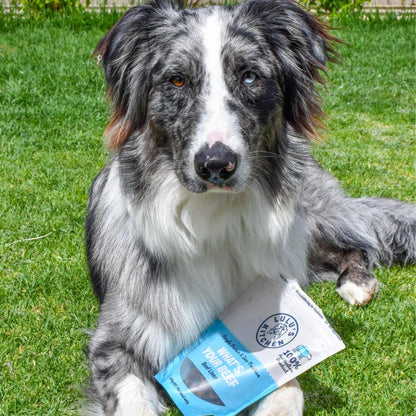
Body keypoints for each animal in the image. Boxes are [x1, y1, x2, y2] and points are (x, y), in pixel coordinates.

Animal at [85, 1, 416, 414]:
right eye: (177, 81)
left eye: (249, 77)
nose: (215, 164)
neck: (211, 214)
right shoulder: (117, 338)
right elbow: (134, 400)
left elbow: (288, 389)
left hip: (306, 220)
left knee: (357, 243)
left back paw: (357, 285)